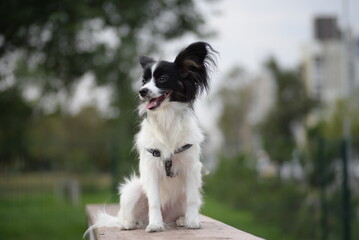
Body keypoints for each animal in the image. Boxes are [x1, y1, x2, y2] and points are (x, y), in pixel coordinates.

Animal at [86, 41, 218, 234]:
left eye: (162, 78)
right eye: (144, 81)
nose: (142, 91)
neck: (166, 117)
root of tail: (168, 215)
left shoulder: (192, 168)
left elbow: (192, 200)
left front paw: (192, 221)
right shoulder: (151, 169)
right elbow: (154, 202)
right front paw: (155, 224)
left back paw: (181, 219)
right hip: (132, 190)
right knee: (128, 216)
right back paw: (129, 223)